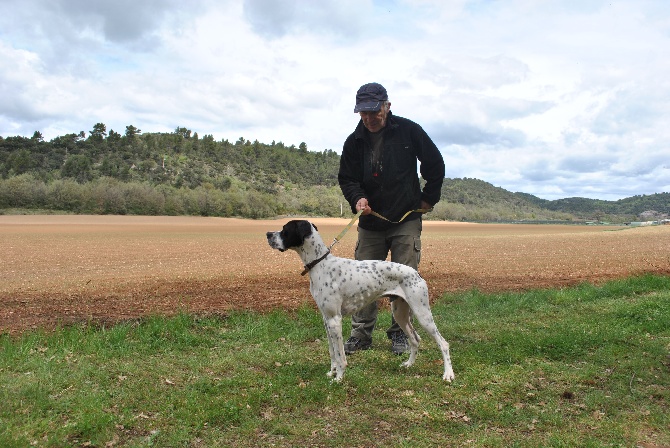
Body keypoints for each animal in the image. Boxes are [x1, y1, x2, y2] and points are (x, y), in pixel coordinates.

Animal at [268, 220, 456, 382]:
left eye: (285, 229)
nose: (268, 233)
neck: (320, 264)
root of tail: (416, 273)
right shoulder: (326, 320)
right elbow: (332, 351)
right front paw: (332, 372)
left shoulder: (335, 320)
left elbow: (340, 355)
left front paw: (339, 378)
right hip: (400, 314)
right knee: (415, 340)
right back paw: (409, 364)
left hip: (422, 313)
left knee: (443, 343)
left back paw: (448, 374)